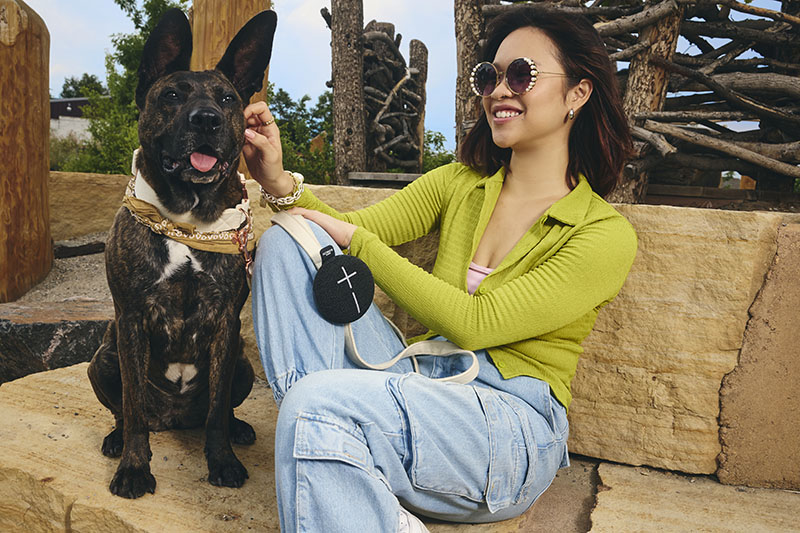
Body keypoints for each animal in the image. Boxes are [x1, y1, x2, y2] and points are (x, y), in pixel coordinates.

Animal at [87, 9, 278, 498]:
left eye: (228, 99)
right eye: (171, 95)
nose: (207, 120)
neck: (187, 217)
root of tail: (172, 420)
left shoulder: (226, 323)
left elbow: (216, 412)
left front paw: (222, 460)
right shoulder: (131, 319)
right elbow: (133, 408)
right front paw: (134, 468)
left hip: (243, 363)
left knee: (221, 410)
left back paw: (237, 429)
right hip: (103, 358)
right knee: (125, 411)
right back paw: (116, 438)